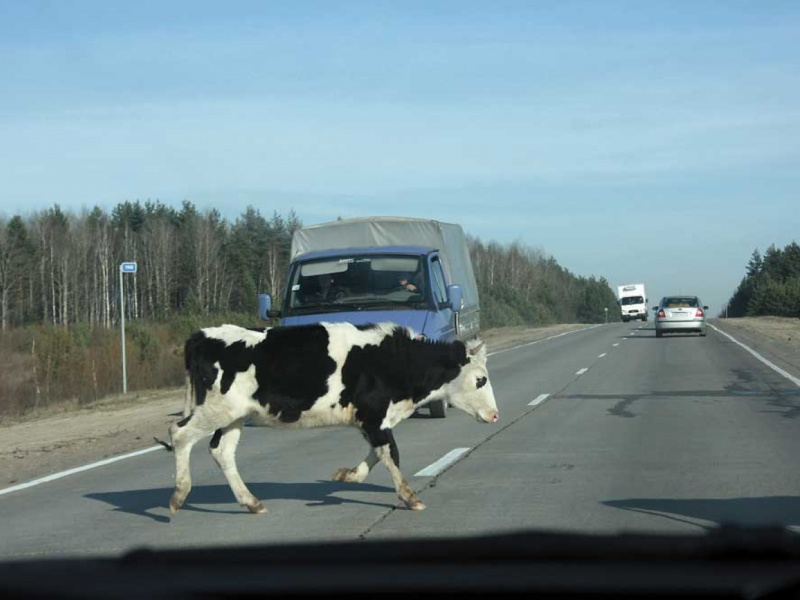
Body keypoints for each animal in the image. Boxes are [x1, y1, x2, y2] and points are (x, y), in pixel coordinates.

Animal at [163, 324, 496, 516]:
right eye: (480, 379)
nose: (495, 415)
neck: (394, 360)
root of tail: (199, 336)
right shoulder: (374, 414)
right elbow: (391, 453)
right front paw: (410, 497)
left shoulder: (371, 419)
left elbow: (377, 453)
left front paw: (347, 475)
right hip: (217, 409)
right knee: (180, 433)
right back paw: (179, 495)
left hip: (234, 416)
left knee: (221, 451)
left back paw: (251, 502)